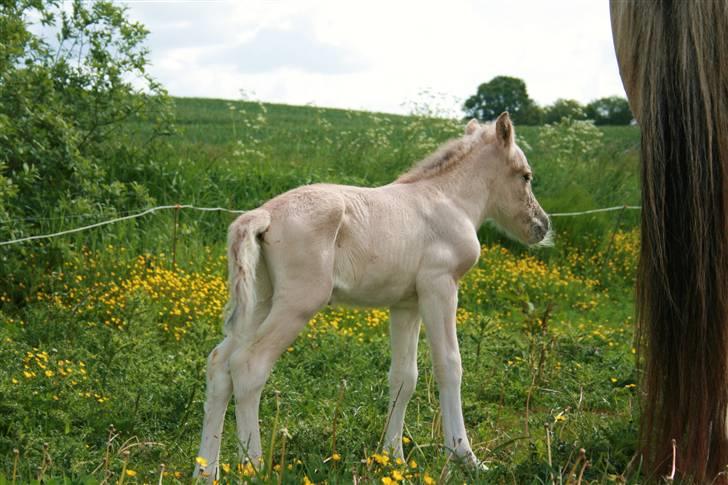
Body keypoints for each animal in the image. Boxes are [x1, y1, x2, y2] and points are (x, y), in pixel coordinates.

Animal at [196, 110, 548, 476]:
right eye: (525, 176)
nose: (542, 226)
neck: (450, 199)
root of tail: (264, 214)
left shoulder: (406, 304)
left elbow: (404, 377)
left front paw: (393, 457)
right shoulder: (440, 287)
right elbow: (449, 365)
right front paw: (466, 457)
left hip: (261, 301)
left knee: (219, 364)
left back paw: (205, 470)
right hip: (297, 304)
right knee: (248, 365)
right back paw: (253, 466)